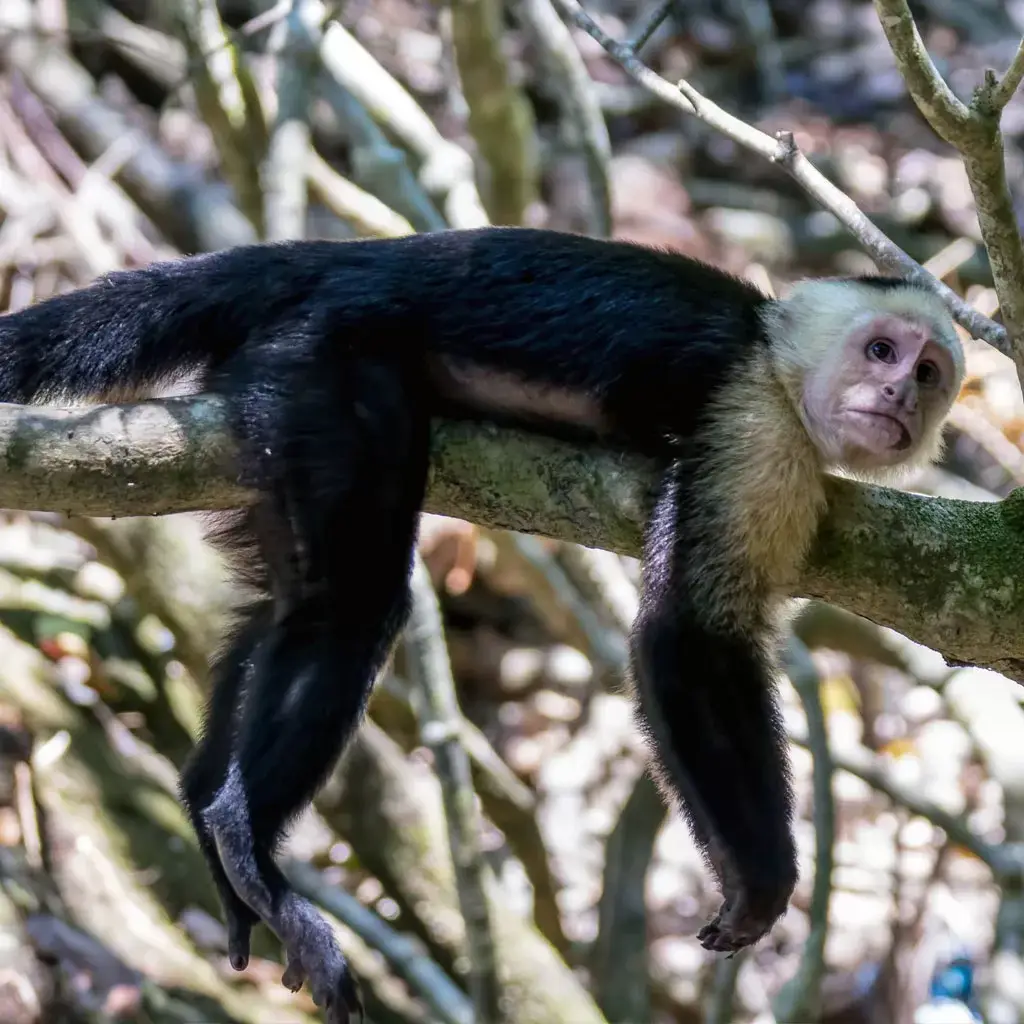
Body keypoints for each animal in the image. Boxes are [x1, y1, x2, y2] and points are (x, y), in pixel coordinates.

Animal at [0, 227, 965, 1023]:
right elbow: (687, 637)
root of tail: (342, 257)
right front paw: (761, 880)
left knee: (284, 605)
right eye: (881, 350)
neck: (771, 352)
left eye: (926, 375)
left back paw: (211, 821)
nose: (896, 395)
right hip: (319, 361)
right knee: (353, 601)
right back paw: (248, 835)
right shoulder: (755, 420)